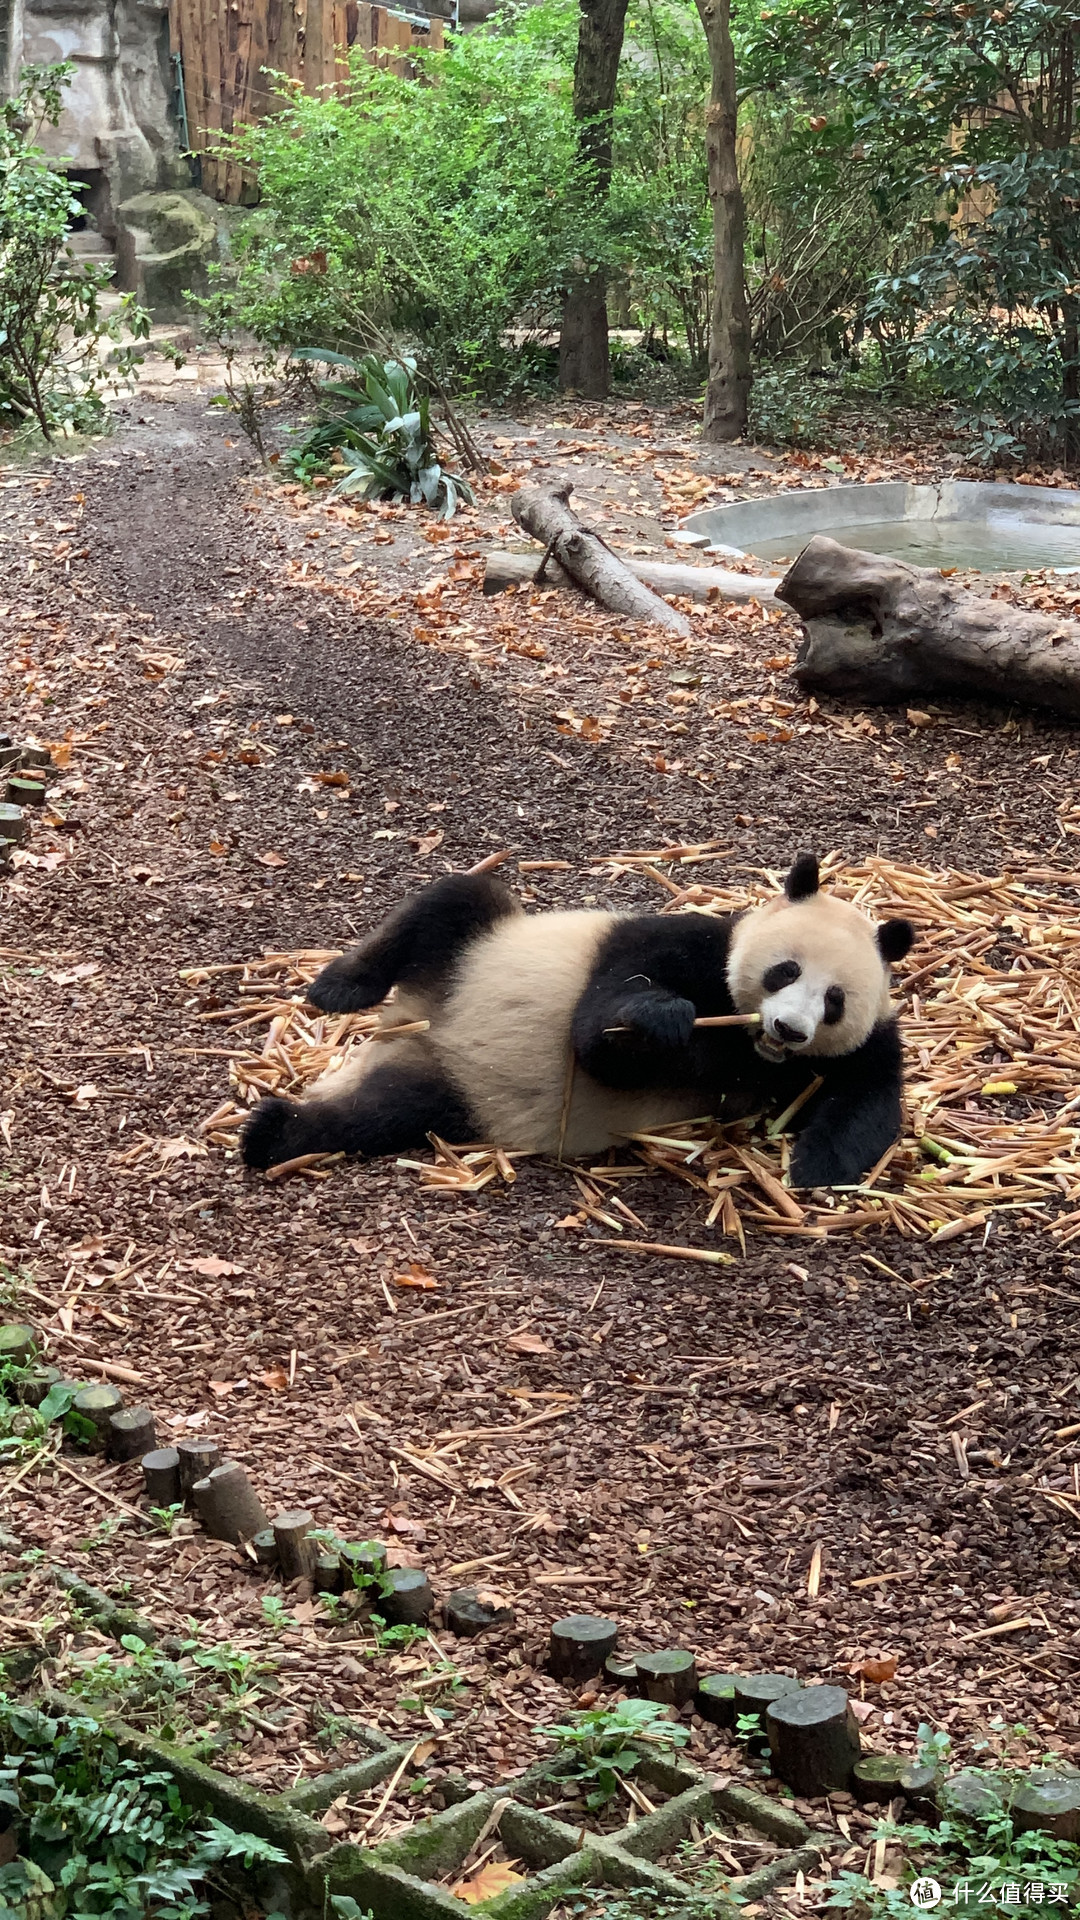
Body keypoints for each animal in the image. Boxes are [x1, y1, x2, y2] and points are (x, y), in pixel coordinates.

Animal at [239, 852, 910, 1182]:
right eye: (784, 971)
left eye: (834, 1001)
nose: (787, 1029)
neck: (746, 1042)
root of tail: (416, 1024)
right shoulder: (681, 941)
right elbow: (598, 1032)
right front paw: (661, 1019)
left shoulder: (859, 1049)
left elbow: (866, 1105)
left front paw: (815, 1166)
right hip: (472, 949)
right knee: (453, 902)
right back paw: (337, 989)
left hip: (442, 1095)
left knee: (379, 1114)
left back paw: (275, 1131)